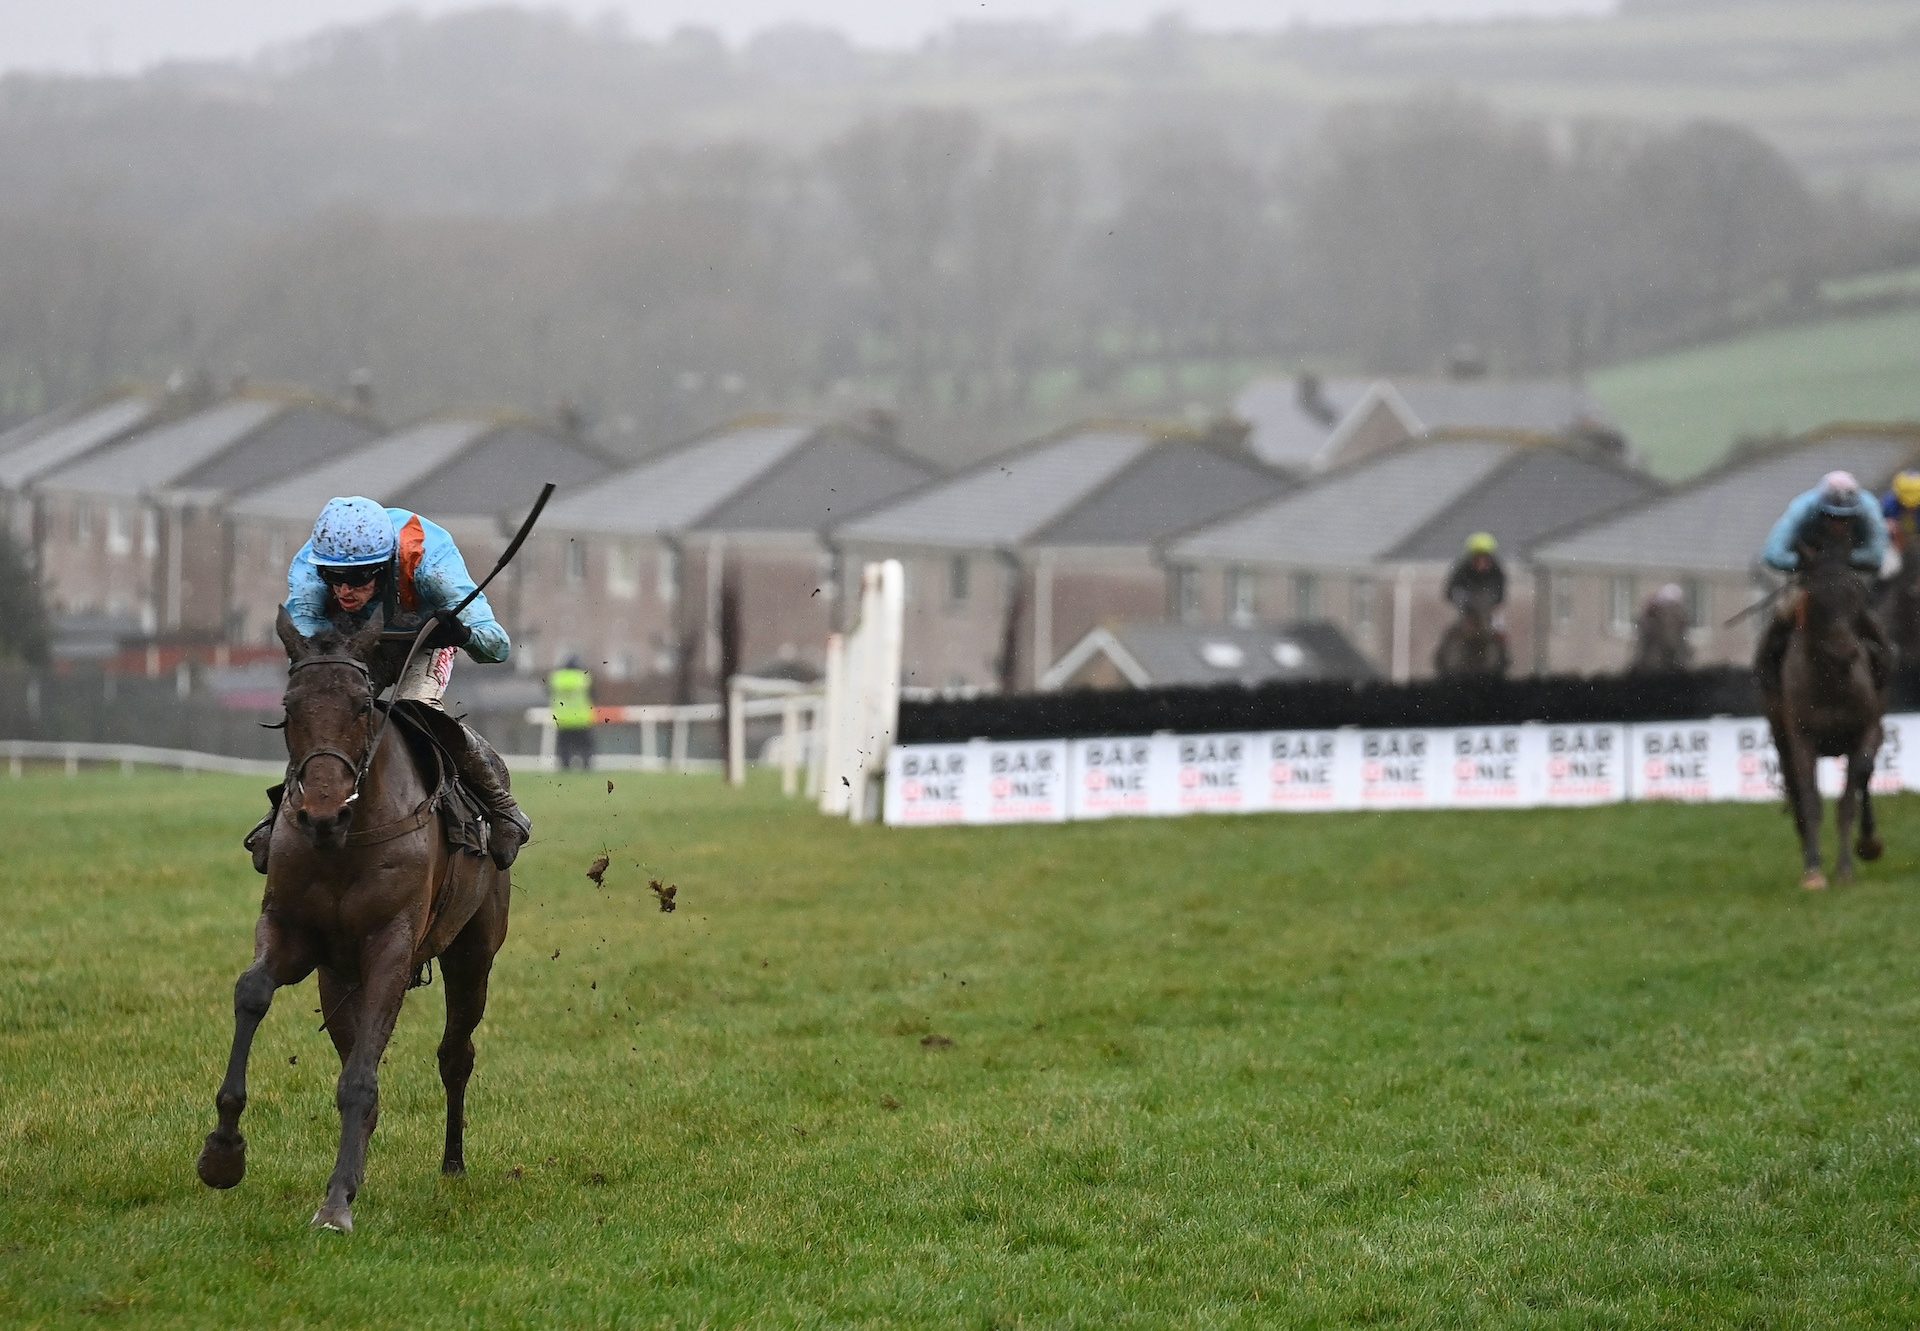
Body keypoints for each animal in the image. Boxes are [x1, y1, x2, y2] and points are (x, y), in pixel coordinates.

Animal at [197, 606, 510, 1229]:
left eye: (363, 706)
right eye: (289, 707)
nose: (322, 812)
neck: (345, 841)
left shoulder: (391, 945)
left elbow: (363, 1077)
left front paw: (337, 1202)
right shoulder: (293, 932)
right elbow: (252, 993)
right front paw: (223, 1151)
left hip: (473, 953)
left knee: (454, 1054)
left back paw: (452, 1163)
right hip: (337, 977)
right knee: (355, 1045)